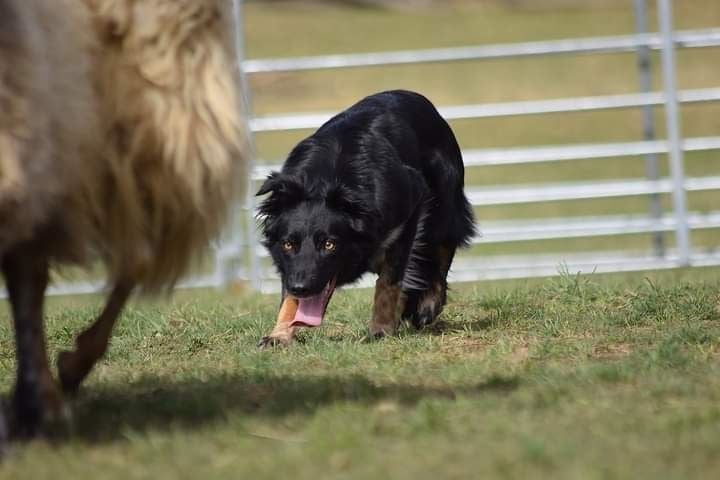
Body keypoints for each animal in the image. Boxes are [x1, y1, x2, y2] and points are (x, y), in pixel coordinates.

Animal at [256, 90, 476, 344]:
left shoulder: (412, 203)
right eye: (288, 244)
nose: (301, 288)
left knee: (442, 247)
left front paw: (381, 328)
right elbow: (288, 296)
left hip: (443, 203)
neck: (326, 180)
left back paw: (427, 305)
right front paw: (280, 334)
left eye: (330, 244)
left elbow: (389, 280)